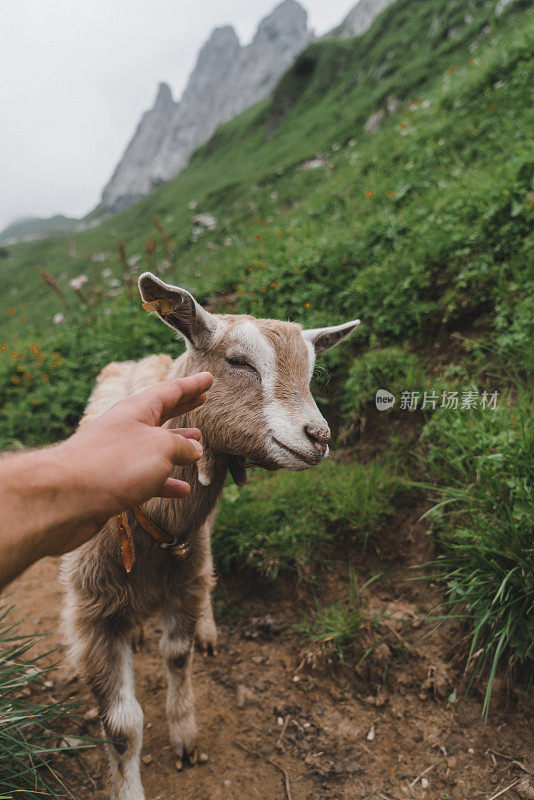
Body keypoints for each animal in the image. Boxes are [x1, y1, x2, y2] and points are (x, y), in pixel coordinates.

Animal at [60, 272, 362, 796]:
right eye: (238, 361)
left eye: (310, 372)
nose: (319, 437)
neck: (149, 528)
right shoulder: (90, 617)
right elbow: (121, 729)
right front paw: (129, 785)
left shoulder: (184, 579)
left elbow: (178, 656)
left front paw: (185, 736)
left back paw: (206, 628)